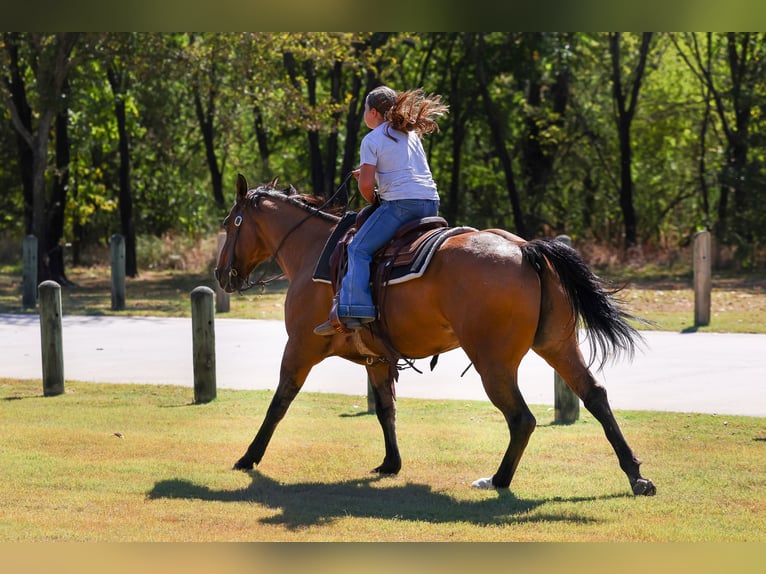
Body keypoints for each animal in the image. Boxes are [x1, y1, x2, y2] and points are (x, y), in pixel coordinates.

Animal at [215, 174, 656, 496]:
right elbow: (386, 409)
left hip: (493, 363)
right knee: (594, 395)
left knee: (522, 418)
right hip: (558, 345)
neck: (315, 252)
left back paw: (498, 479)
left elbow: (279, 402)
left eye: (229, 224)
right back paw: (635, 475)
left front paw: (249, 457)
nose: (221, 275)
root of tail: (525, 249)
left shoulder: (300, 346)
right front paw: (391, 463)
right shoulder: (377, 358)